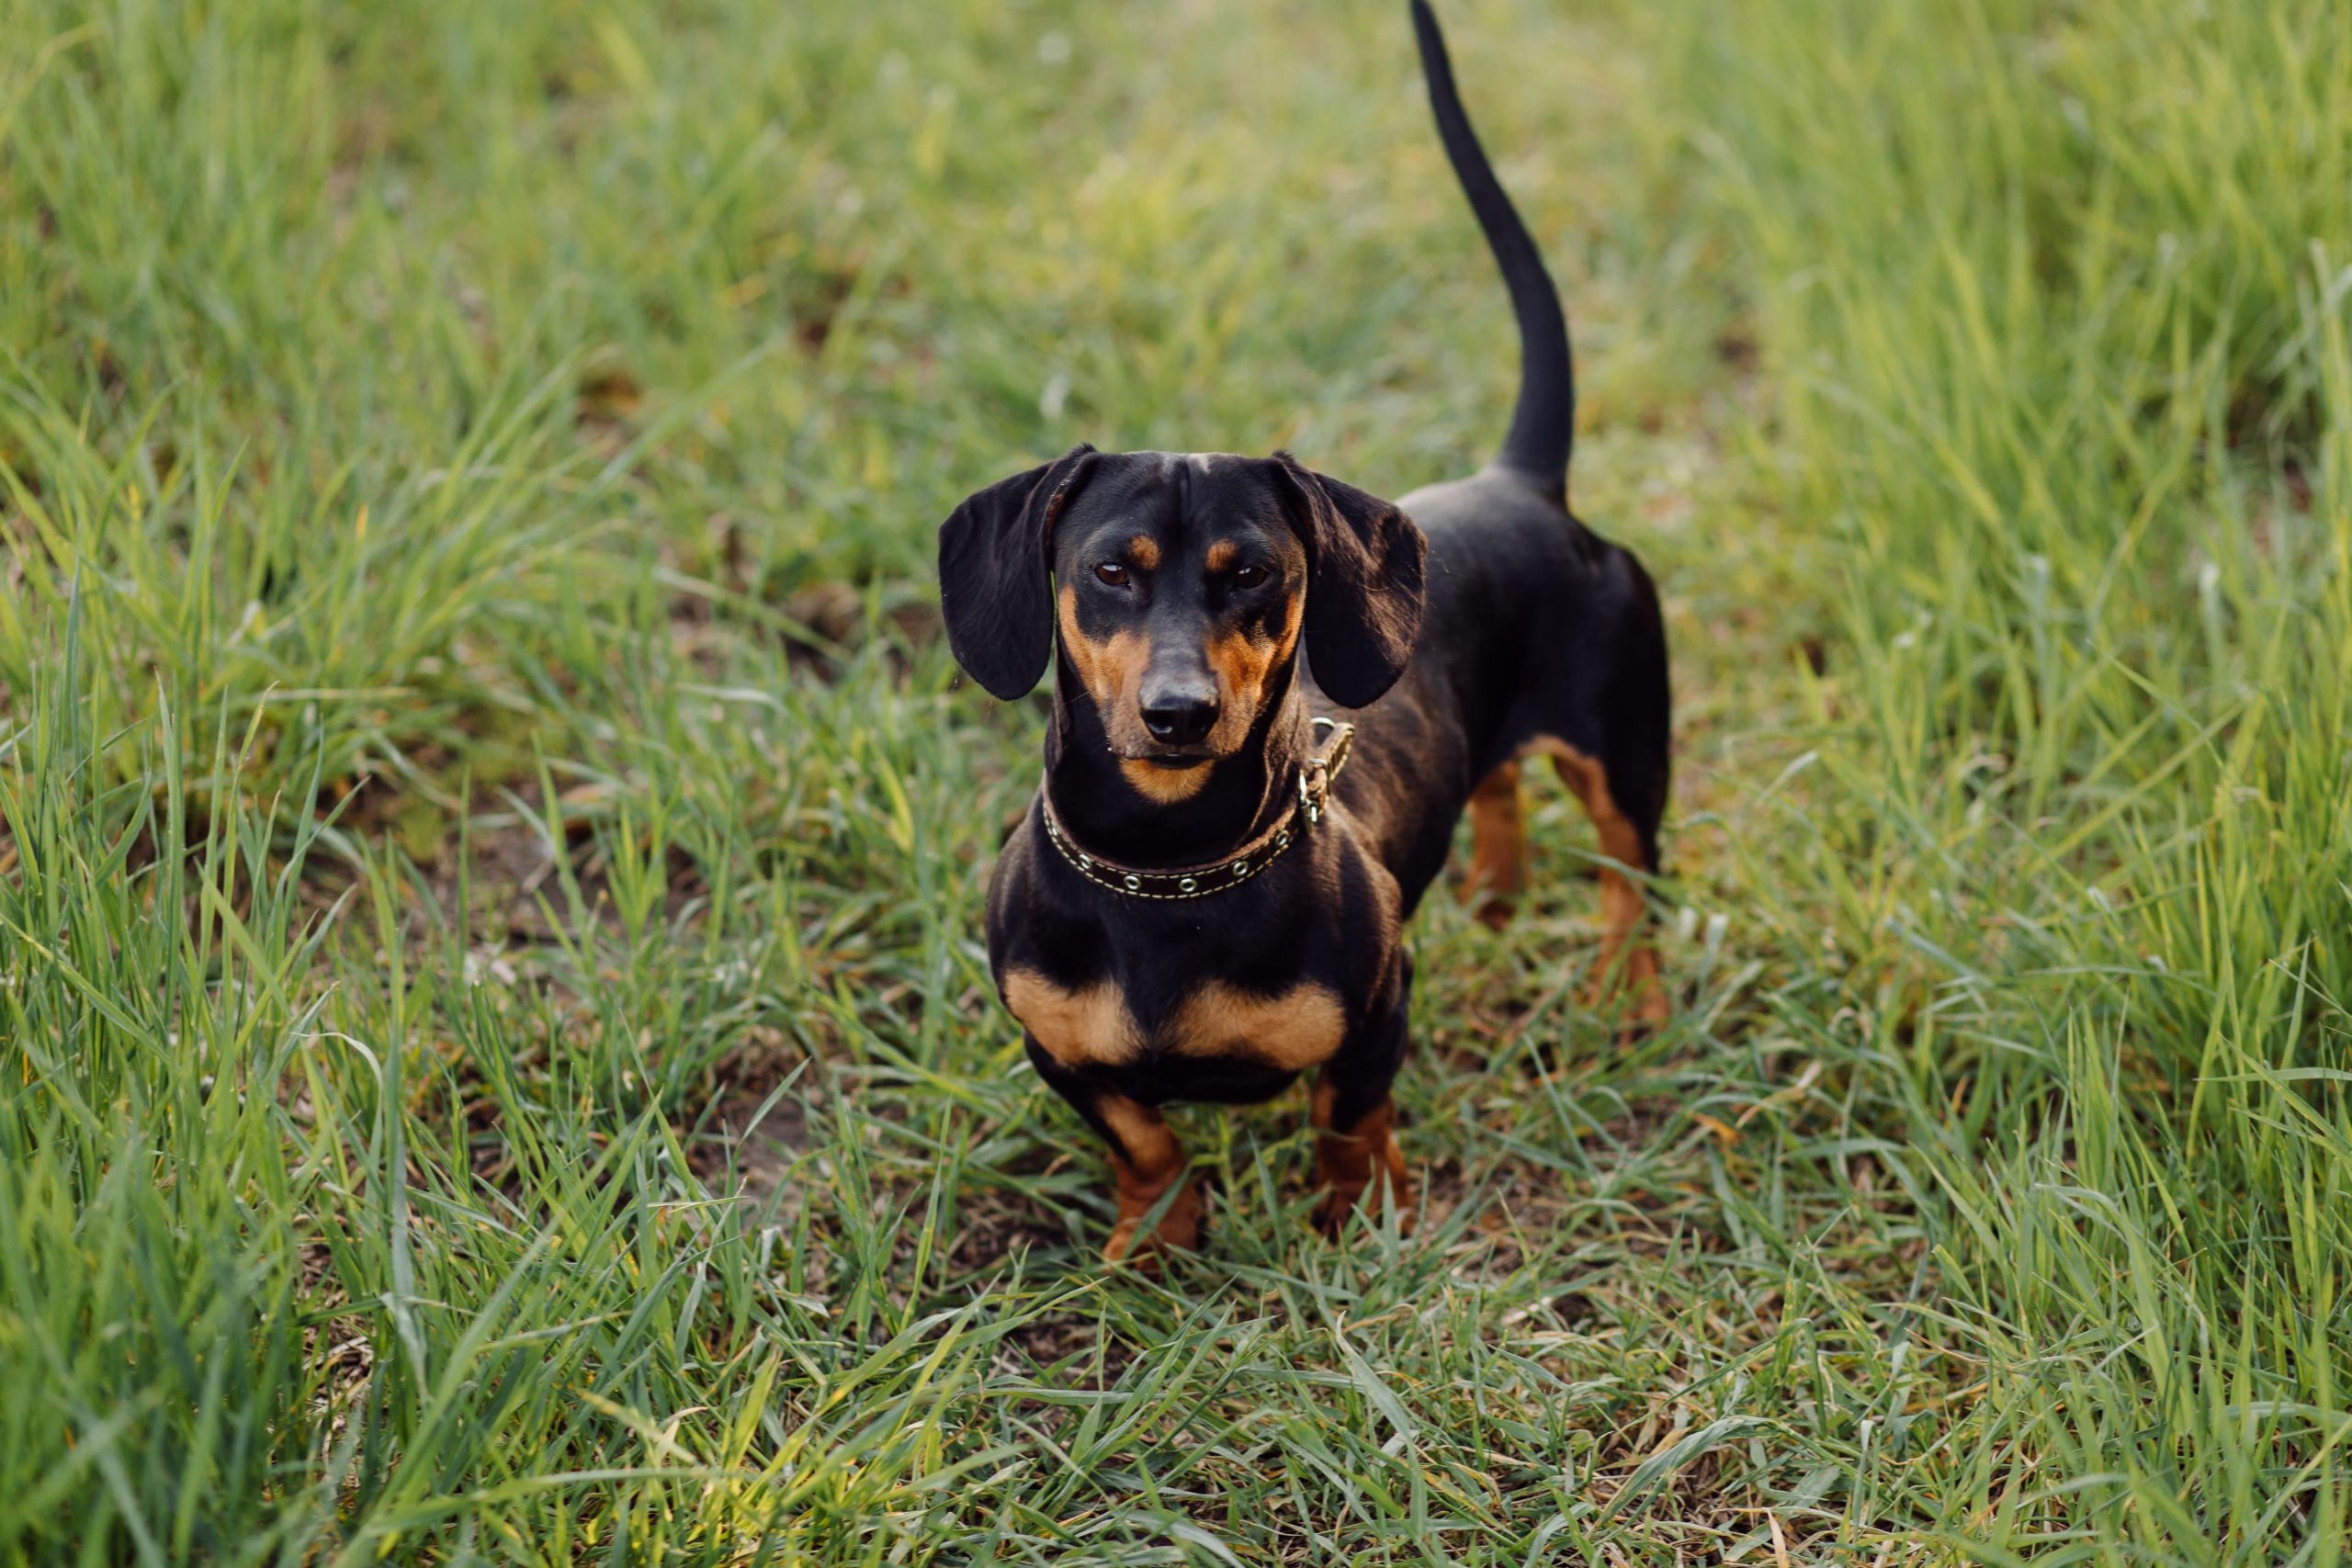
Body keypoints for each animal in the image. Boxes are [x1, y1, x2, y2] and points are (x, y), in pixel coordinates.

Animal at [935, 0, 1674, 1259]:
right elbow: (1142, 1138)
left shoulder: (1378, 1009)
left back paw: (1632, 999)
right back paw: (1495, 891)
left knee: (1635, 884)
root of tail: (1522, 483)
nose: (1179, 716)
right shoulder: (1055, 1047)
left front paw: (1358, 1214)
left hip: (1628, 754)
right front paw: (1155, 1239)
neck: (1166, 870)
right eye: (1109, 571)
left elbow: (1347, 1113)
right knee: (1497, 786)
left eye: (1256, 575)